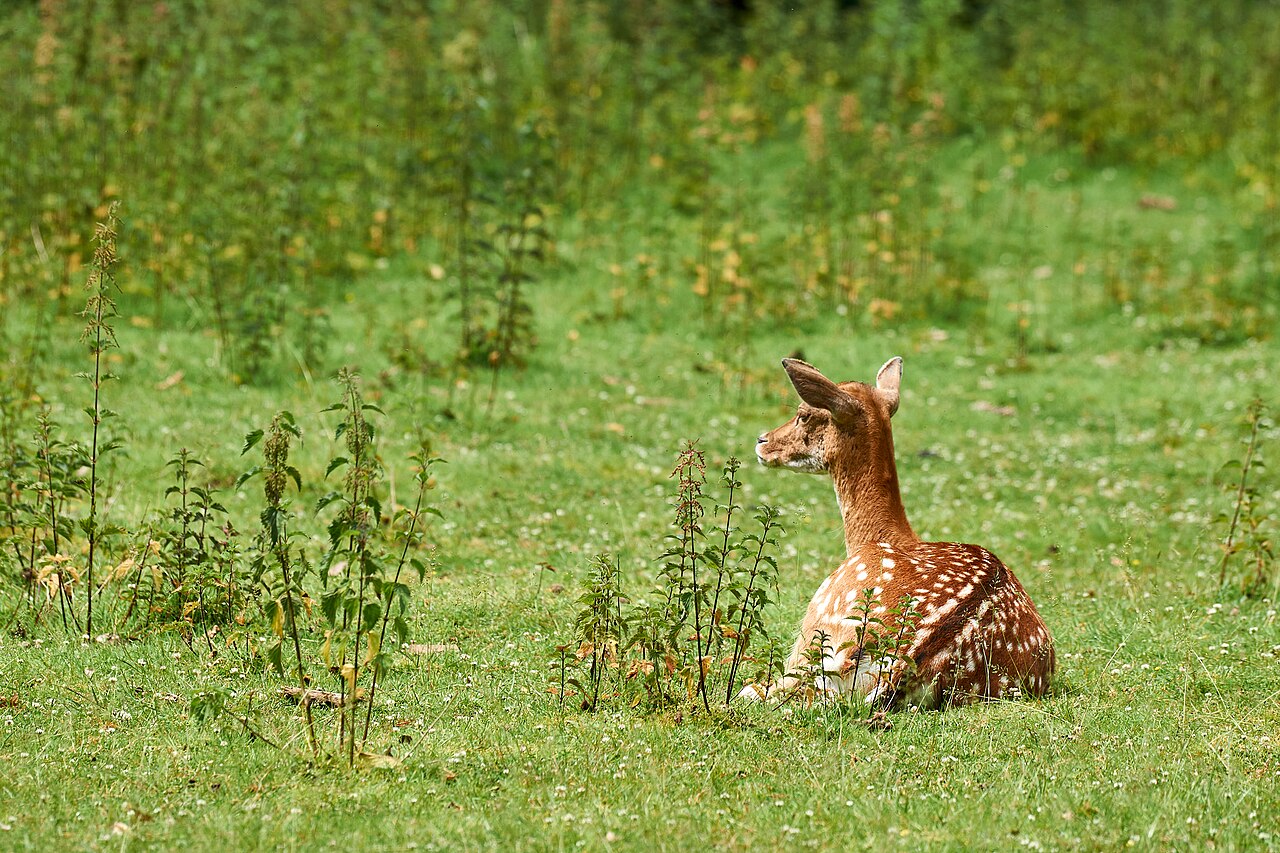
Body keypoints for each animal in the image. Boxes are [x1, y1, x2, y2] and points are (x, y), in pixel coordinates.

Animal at [744, 356, 1055, 708]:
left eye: (804, 413)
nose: (762, 441)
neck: (881, 536)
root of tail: (901, 662)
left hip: (818, 628)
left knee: (759, 688)